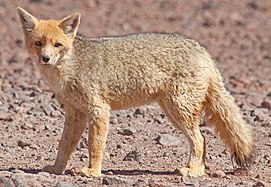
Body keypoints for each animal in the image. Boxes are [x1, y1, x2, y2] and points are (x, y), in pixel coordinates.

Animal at [17, 6, 255, 177]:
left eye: (57, 45)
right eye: (38, 43)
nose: (45, 58)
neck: (70, 67)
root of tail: (203, 50)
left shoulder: (99, 111)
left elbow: (95, 145)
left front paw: (92, 171)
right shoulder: (75, 113)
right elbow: (64, 145)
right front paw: (57, 169)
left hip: (179, 111)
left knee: (200, 139)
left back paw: (193, 171)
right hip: (173, 112)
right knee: (202, 140)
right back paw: (199, 170)